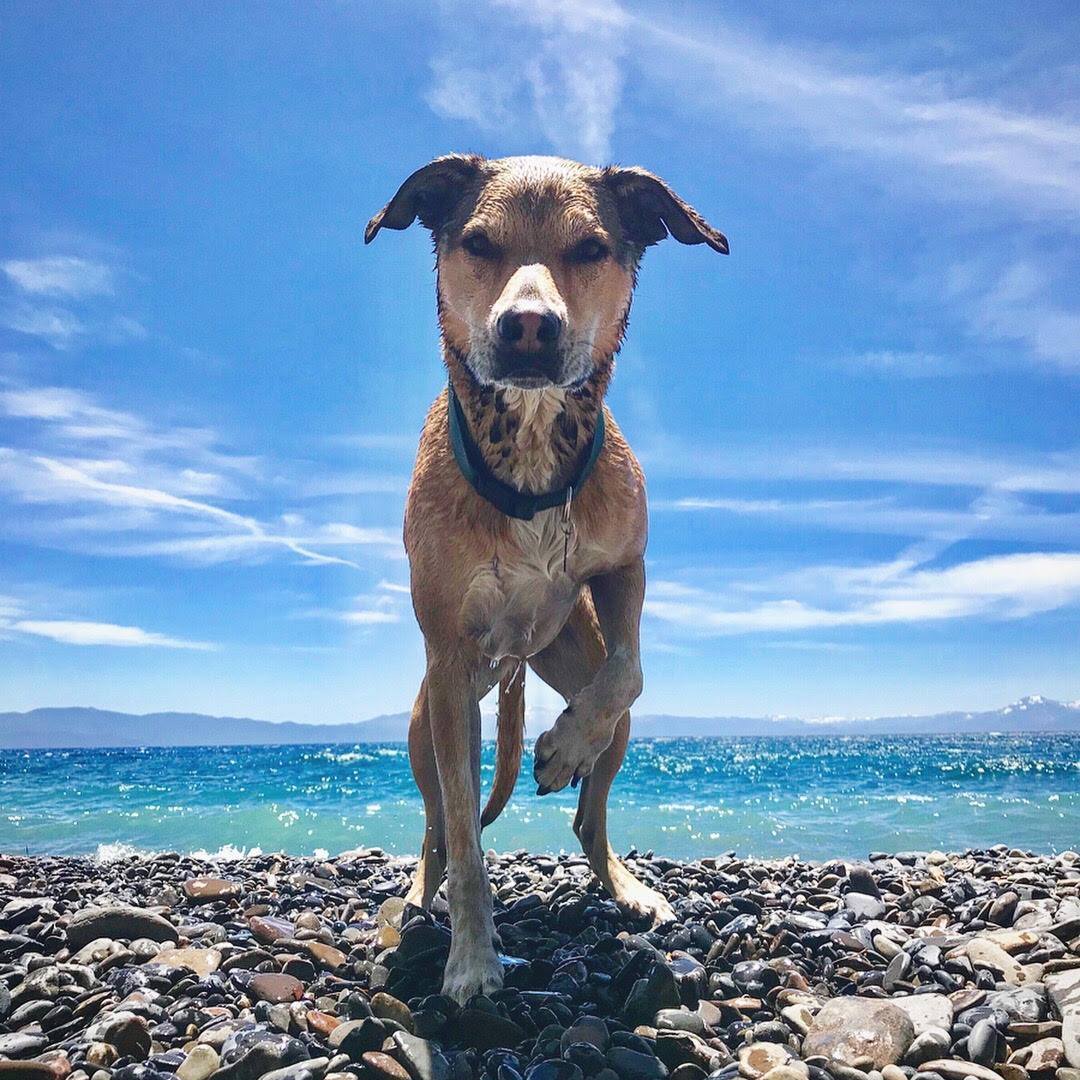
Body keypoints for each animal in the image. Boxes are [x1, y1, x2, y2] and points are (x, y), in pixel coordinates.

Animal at [362, 154, 725, 1002]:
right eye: (478, 243)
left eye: (590, 248)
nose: (529, 325)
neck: (528, 455)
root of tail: (520, 662)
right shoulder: (449, 664)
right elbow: (467, 841)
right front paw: (471, 960)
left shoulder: (627, 566)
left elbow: (630, 667)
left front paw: (562, 747)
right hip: (427, 724)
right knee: (437, 826)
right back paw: (419, 895)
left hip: (591, 691)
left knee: (591, 812)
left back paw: (622, 880)